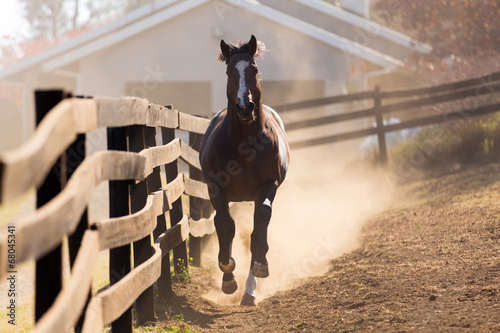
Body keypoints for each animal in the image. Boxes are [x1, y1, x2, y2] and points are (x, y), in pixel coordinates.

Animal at [199, 35, 290, 304]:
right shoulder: (216, 189)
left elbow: (260, 224)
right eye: (230, 71)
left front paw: (261, 266)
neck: (245, 145)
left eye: (254, 69)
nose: (245, 107)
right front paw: (227, 274)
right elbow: (224, 225)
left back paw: (250, 290)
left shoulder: (268, 186)